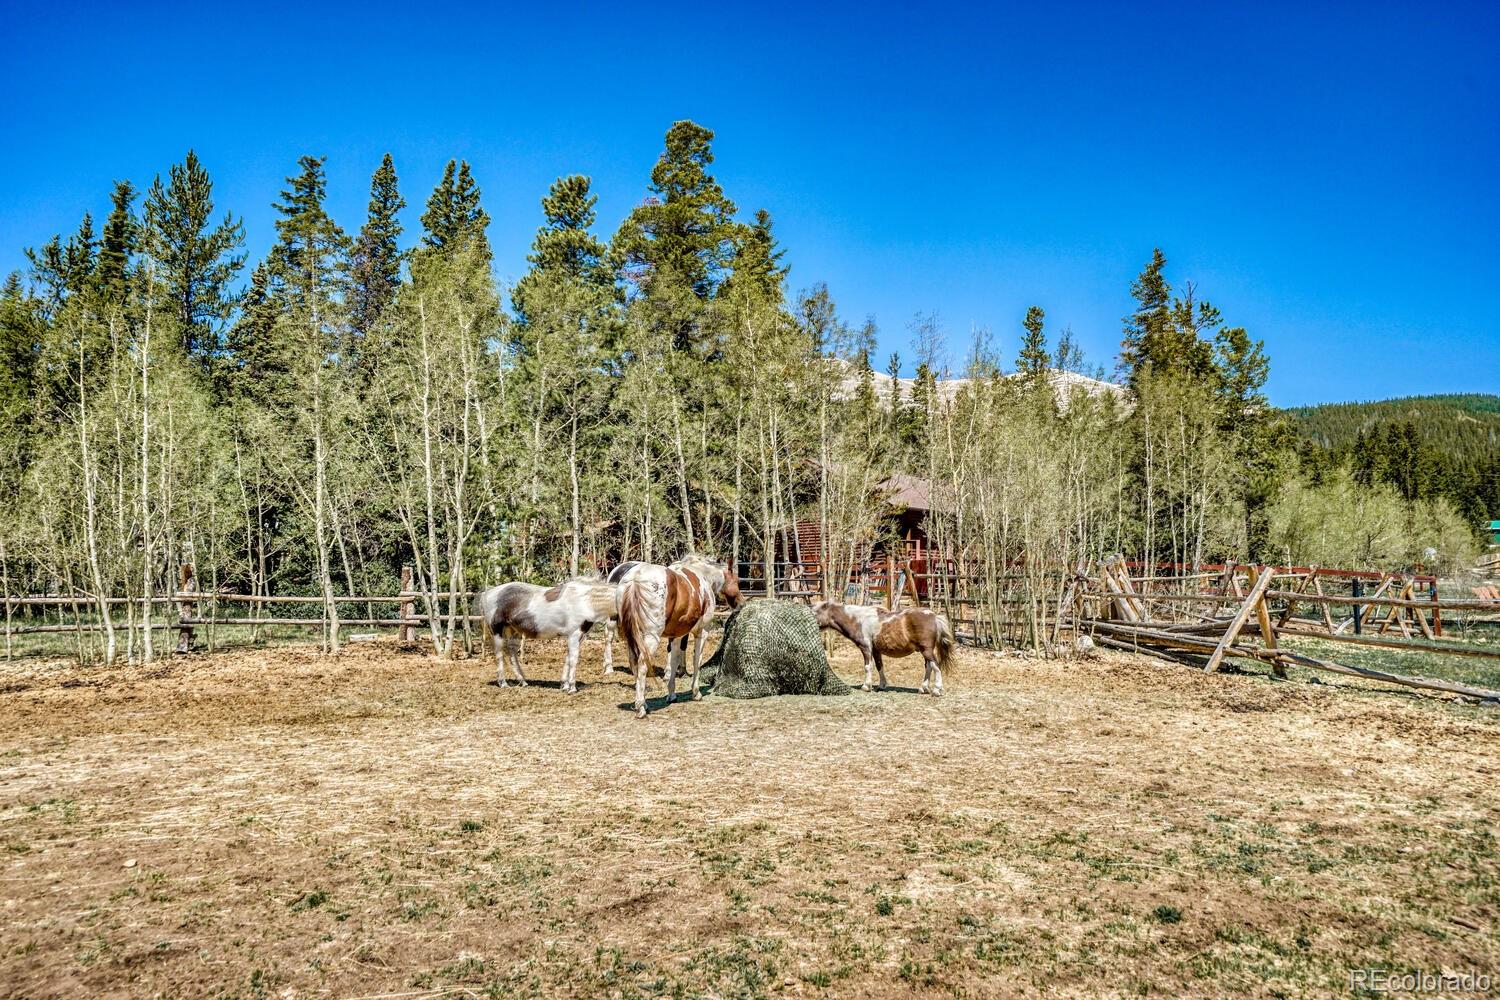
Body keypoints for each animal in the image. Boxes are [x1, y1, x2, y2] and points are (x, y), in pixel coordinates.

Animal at [480, 575, 621, 692]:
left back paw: (523, 681)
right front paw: (572, 687)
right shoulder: (574, 635)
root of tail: (487, 594)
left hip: (513, 631)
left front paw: (564, 685)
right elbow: (574, 659)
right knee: (499, 655)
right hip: (497, 632)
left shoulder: (578, 636)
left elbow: (568, 658)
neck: (583, 600)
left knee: (512, 654)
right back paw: (503, 683)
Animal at [615, 554, 744, 719]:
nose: (741, 603)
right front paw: (696, 693)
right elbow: (696, 661)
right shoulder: (702, 632)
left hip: (631, 637)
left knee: (634, 665)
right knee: (643, 666)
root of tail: (635, 579)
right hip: (651, 637)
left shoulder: (675, 636)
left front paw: (672, 694)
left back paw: (644, 703)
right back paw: (641, 708)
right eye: (737, 581)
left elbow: (673, 660)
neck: (703, 576)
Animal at [816, 602, 954, 695]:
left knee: (935, 666)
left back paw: (936, 689)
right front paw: (882, 685)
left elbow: (868, 666)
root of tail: (934, 616)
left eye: (816, 612)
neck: (859, 620)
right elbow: (879, 666)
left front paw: (866, 686)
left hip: (927, 650)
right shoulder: (876, 650)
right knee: (929, 667)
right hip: (924, 651)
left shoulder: (866, 648)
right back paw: (923, 688)